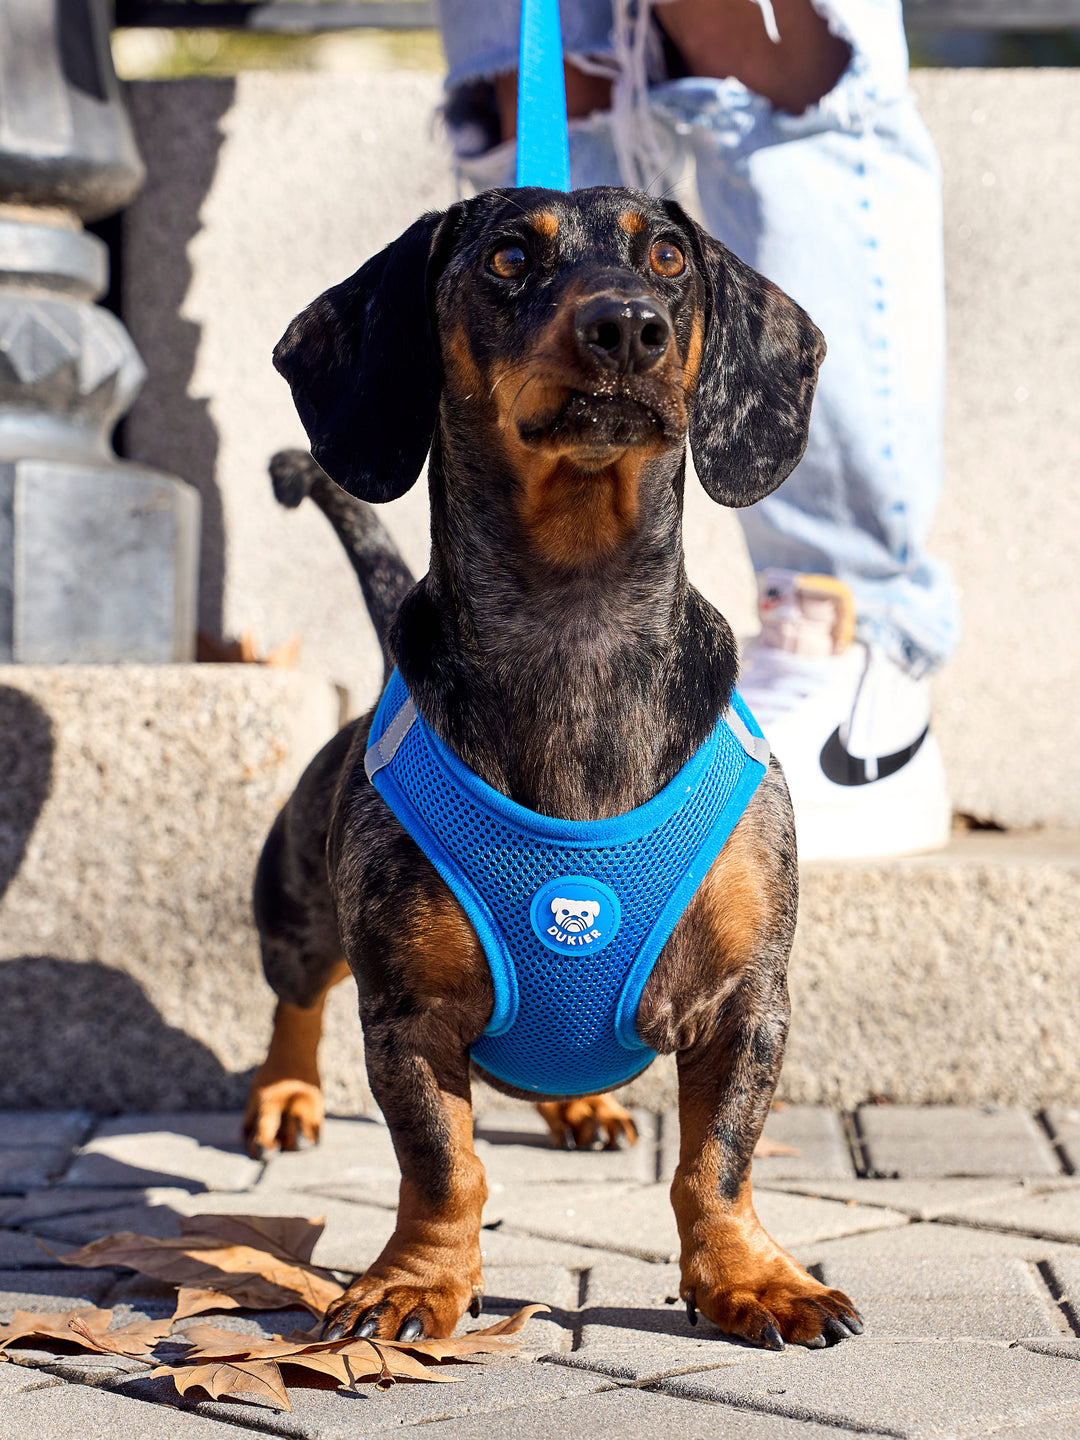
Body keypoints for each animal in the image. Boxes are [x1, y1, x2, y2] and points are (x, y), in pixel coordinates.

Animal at [244, 185, 864, 1353]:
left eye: (667, 256)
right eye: (505, 257)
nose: (628, 328)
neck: (578, 619)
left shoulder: (748, 1002)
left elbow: (717, 1165)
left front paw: (753, 1279)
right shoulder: (407, 1013)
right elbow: (443, 1166)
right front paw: (416, 1282)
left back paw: (582, 1104)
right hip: (297, 910)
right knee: (295, 999)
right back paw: (286, 1095)